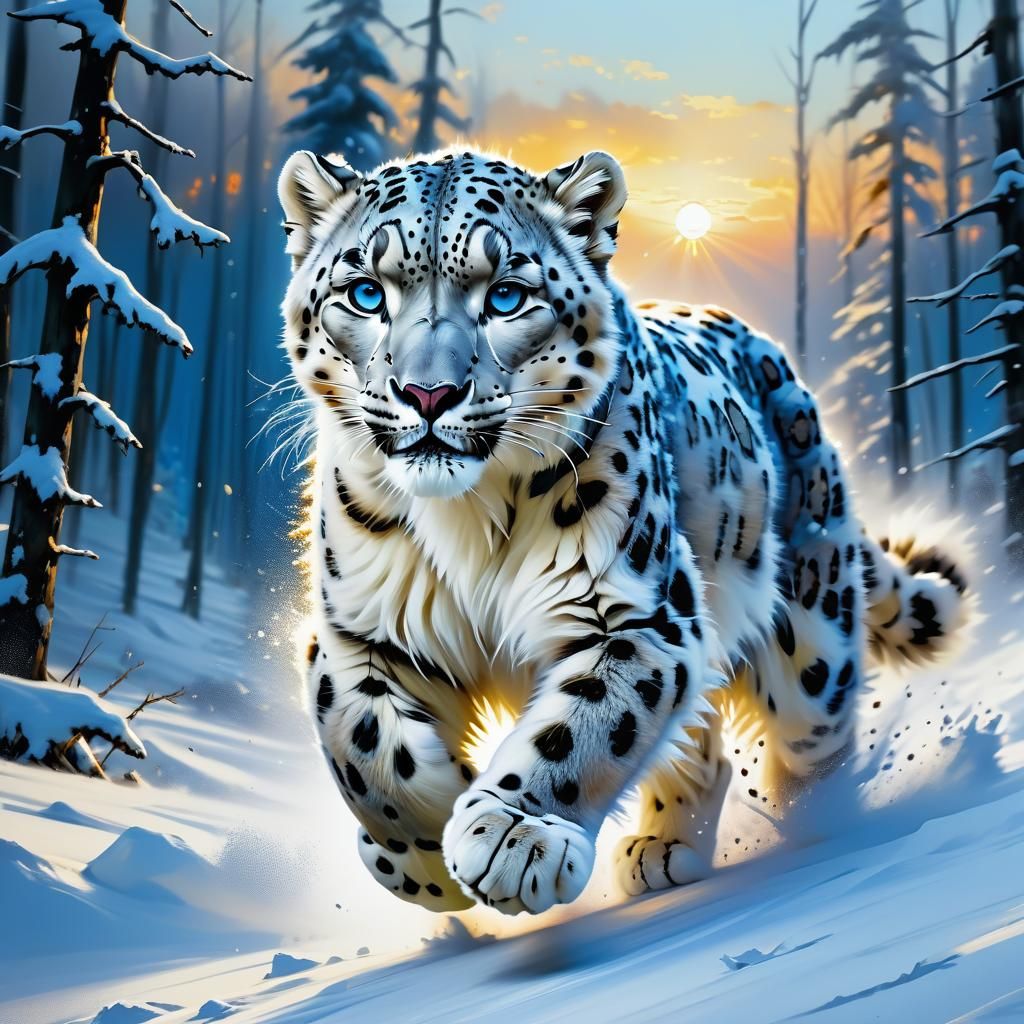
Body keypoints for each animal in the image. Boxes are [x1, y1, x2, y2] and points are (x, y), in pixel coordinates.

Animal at [276, 146, 970, 916]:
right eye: (366, 294)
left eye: (506, 296)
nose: (430, 395)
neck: (465, 521)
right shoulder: (359, 631)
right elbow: (367, 751)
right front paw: (422, 861)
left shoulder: (635, 613)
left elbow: (587, 725)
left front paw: (513, 837)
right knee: (705, 745)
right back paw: (664, 848)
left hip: (813, 650)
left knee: (814, 741)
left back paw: (818, 828)